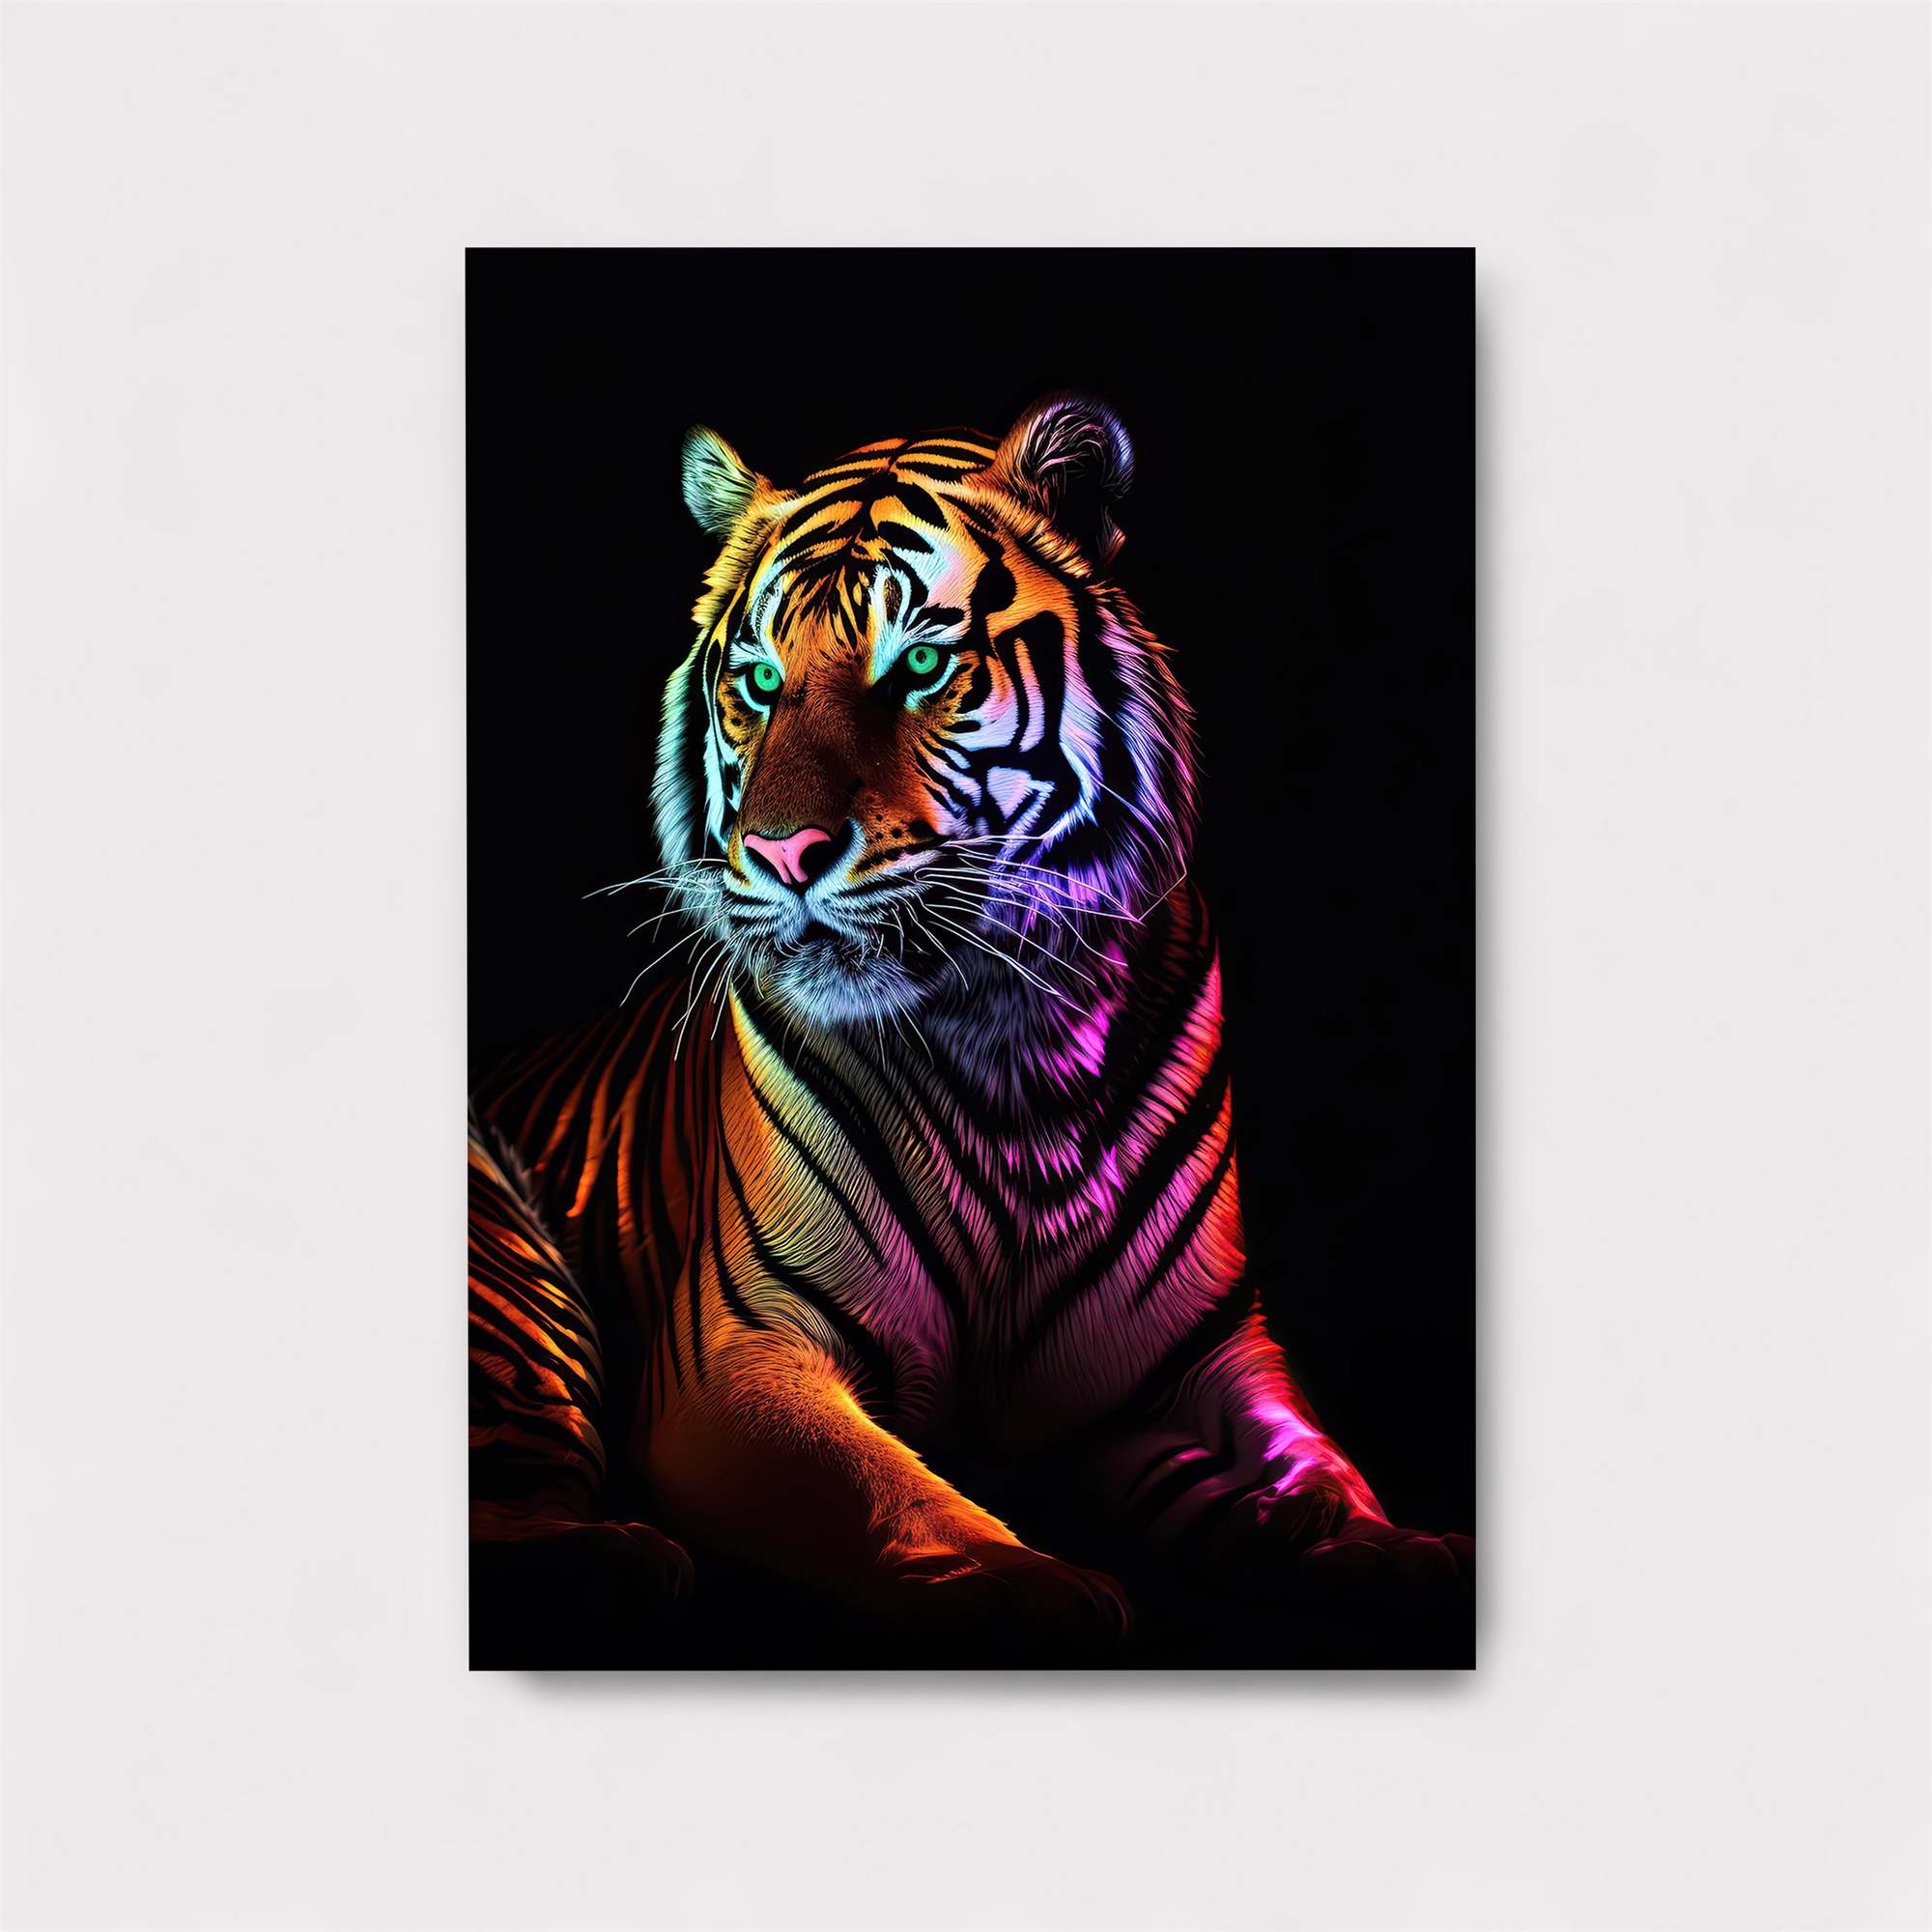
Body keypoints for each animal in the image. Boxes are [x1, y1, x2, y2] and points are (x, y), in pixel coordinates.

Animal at [469, 393, 1472, 1663]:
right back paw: (615, 1559)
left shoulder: (1197, 1361)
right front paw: (1030, 1585)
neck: (1008, 1046)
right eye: (758, 679)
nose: (782, 853)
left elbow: (1312, 1463)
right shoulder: (738, 1360)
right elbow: (888, 1487)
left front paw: (1389, 1550)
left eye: (921, 664)